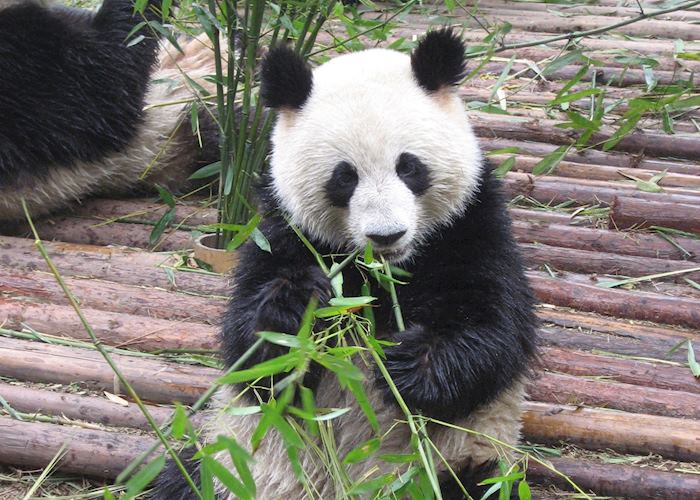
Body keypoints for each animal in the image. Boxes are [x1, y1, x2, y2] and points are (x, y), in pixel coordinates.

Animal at [153, 29, 538, 499]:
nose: (386, 236)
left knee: (475, 484)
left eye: (409, 167)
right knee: (186, 475)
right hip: (233, 462)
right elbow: (254, 354)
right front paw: (299, 305)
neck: (383, 273)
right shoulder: (283, 230)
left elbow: (492, 323)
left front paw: (409, 369)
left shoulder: (470, 224)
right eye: (344, 177)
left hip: (464, 465)